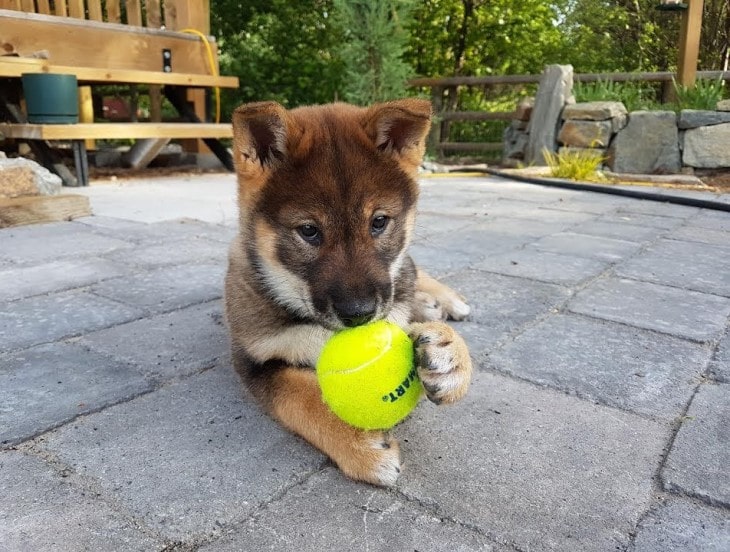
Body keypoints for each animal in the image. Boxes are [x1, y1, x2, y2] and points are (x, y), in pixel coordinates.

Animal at [223, 99, 472, 488]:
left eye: (379, 222)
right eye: (309, 231)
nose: (359, 314)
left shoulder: (392, 309)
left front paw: (450, 355)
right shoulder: (255, 358)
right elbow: (302, 396)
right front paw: (361, 446)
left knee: (413, 271)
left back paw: (442, 300)